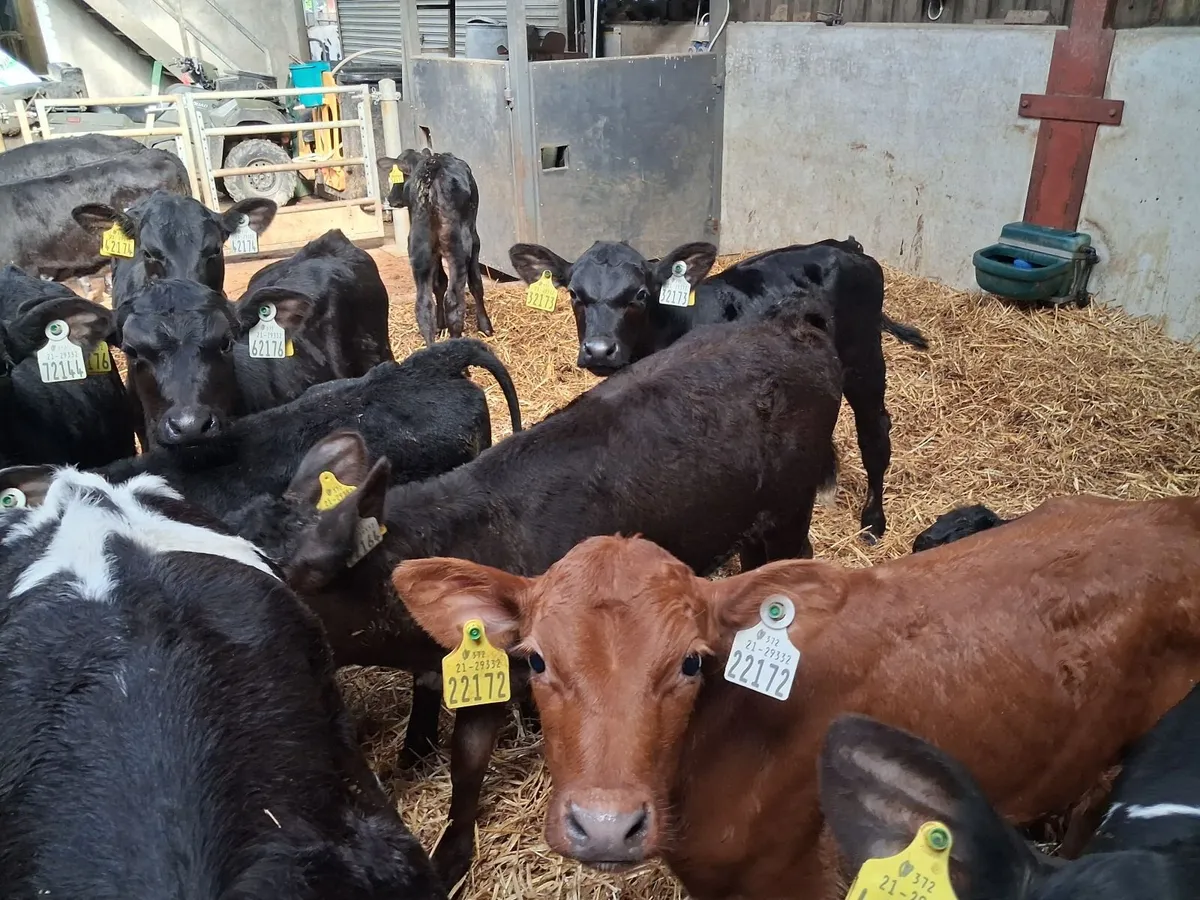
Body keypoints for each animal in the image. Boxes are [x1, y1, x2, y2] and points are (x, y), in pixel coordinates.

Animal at [377, 150, 492, 346]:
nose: (390, 199)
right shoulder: (475, 239)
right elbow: (476, 282)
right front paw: (485, 327)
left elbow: (439, 284)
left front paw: (440, 325)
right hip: (459, 249)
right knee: (453, 301)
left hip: (419, 250)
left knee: (423, 304)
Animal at [509, 238, 928, 540]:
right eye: (574, 294)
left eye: (640, 294)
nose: (598, 349)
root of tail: (846, 247)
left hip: (864, 360)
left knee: (875, 431)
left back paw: (873, 519)